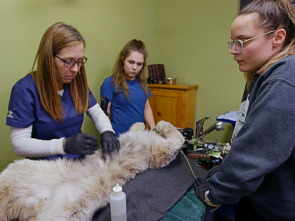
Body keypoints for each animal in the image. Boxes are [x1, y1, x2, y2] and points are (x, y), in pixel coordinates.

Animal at [0, 121, 184, 221]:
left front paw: (160, 125)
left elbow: (178, 137)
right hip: (14, 172)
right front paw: (149, 125)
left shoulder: (162, 152)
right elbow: (138, 128)